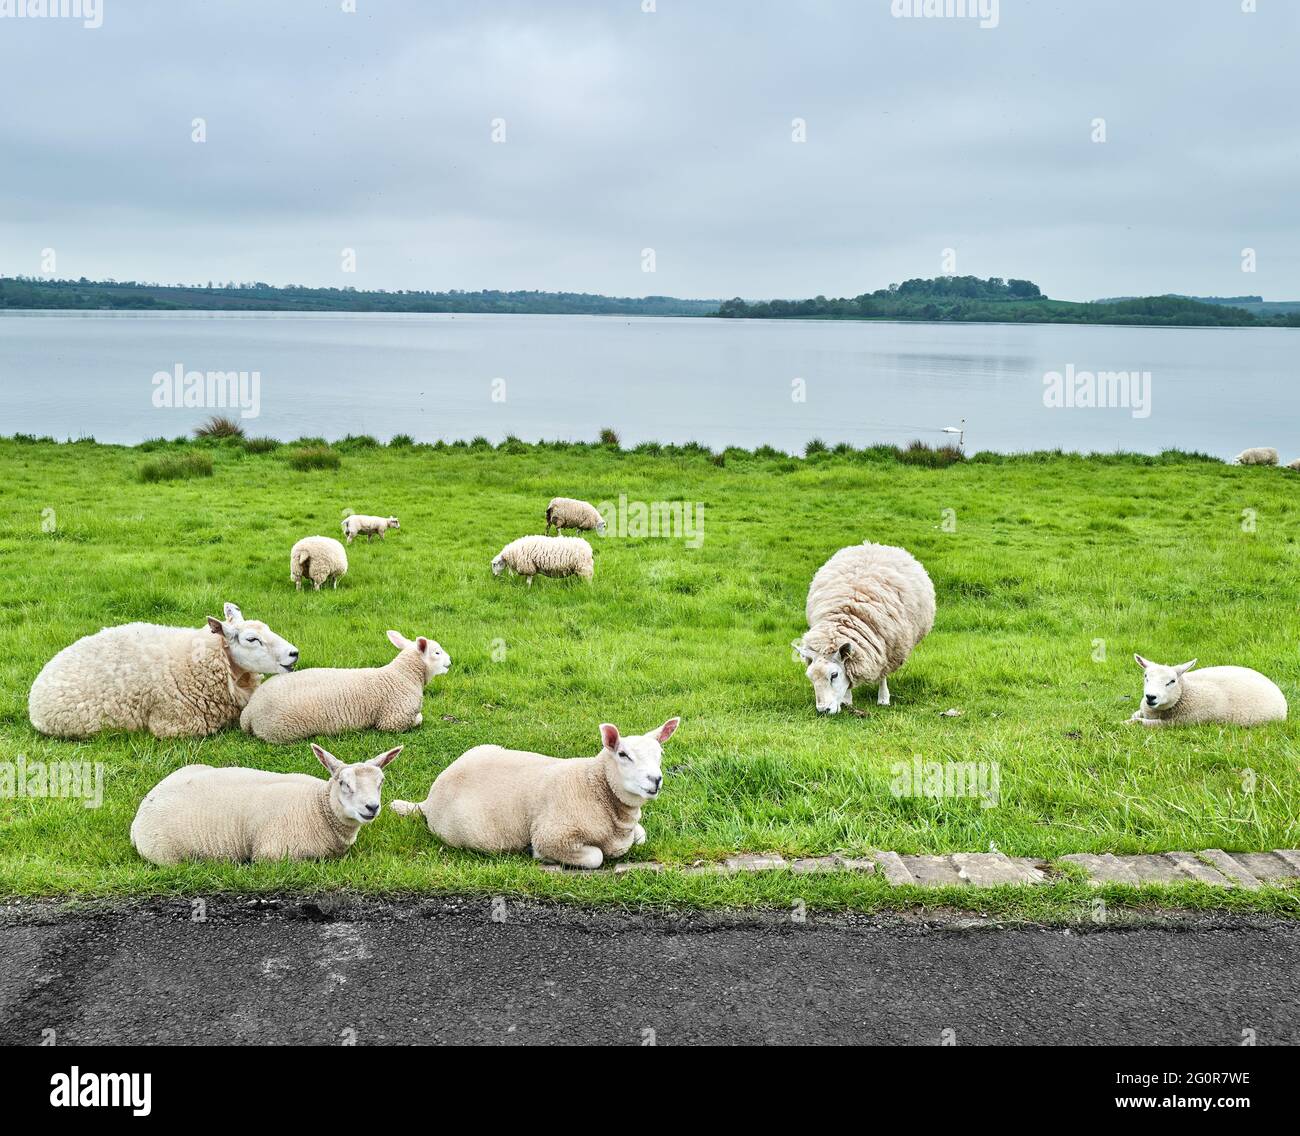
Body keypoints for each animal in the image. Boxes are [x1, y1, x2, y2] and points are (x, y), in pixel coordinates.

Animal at [130, 743, 401, 865]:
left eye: (381, 781)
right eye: (344, 783)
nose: (372, 807)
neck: (317, 807)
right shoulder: (272, 856)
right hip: (167, 857)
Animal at [240, 630, 450, 743]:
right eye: (437, 652)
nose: (450, 662)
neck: (403, 675)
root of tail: (249, 711)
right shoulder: (393, 719)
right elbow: (418, 719)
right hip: (279, 731)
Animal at [390, 718, 680, 869]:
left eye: (660, 753)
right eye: (623, 754)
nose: (655, 780)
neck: (594, 787)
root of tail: (428, 800)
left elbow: (640, 836)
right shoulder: (553, 835)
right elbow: (596, 857)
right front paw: (541, 856)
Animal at [792, 541, 935, 714]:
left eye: (834, 675)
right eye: (810, 677)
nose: (823, 710)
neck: (845, 617)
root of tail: (873, 544)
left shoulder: (887, 649)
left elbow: (882, 674)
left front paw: (883, 698)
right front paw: (847, 700)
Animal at [1127, 654, 1287, 727]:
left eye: (1172, 681)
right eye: (1146, 677)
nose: (1150, 697)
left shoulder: (1178, 722)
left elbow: (1139, 722)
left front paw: (1124, 724)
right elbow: (1136, 714)